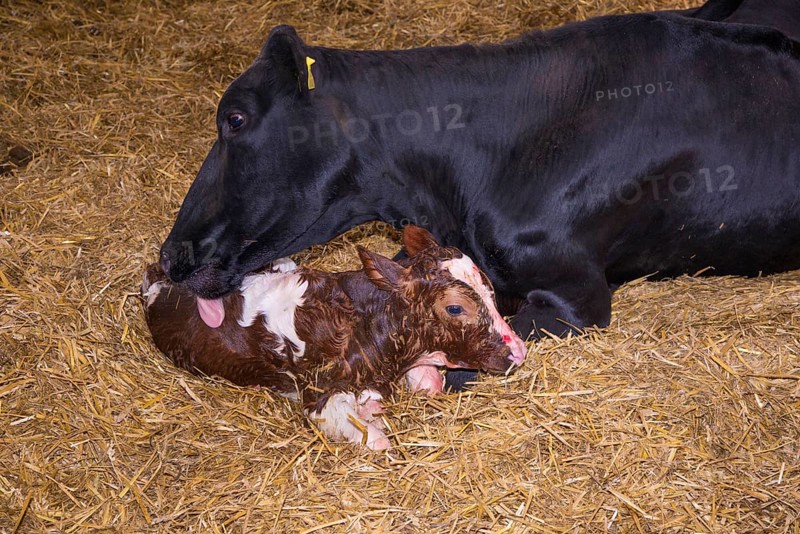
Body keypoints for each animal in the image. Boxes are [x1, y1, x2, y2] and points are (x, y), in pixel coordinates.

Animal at [143, 226, 526, 450]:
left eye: (488, 287)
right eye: (456, 308)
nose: (518, 352)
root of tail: (158, 275)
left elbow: (429, 383)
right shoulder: (320, 400)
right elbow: (377, 440)